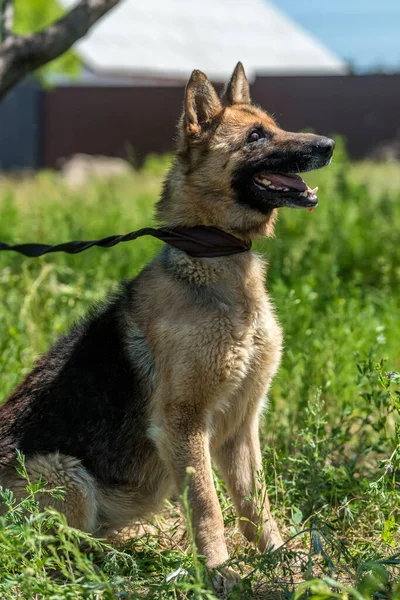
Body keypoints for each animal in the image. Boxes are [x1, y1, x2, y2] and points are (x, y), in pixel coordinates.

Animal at [0, 63, 334, 588]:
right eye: (256, 136)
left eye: (274, 126)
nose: (329, 145)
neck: (213, 257)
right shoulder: (184, 425)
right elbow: (207, 505)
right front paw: (218, 572)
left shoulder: (241, 426)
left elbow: (254, 504)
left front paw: (281, 558)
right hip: (67, 475)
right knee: (54, 550)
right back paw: (115, 561)